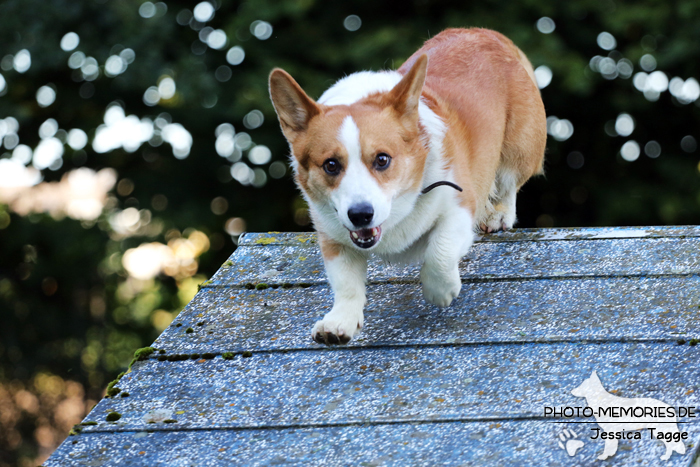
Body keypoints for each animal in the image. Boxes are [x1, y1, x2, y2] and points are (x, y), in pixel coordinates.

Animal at [268, 28, 548, 344]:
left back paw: (499, 214)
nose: (360, 215)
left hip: (519, 147)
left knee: (509, 183)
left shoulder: (460, 207)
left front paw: (441, 291)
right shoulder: (334, 239)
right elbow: (345, 282)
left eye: (382, 159)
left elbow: (439, 252)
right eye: (330, 165)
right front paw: (340, 322)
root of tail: (487, 33)